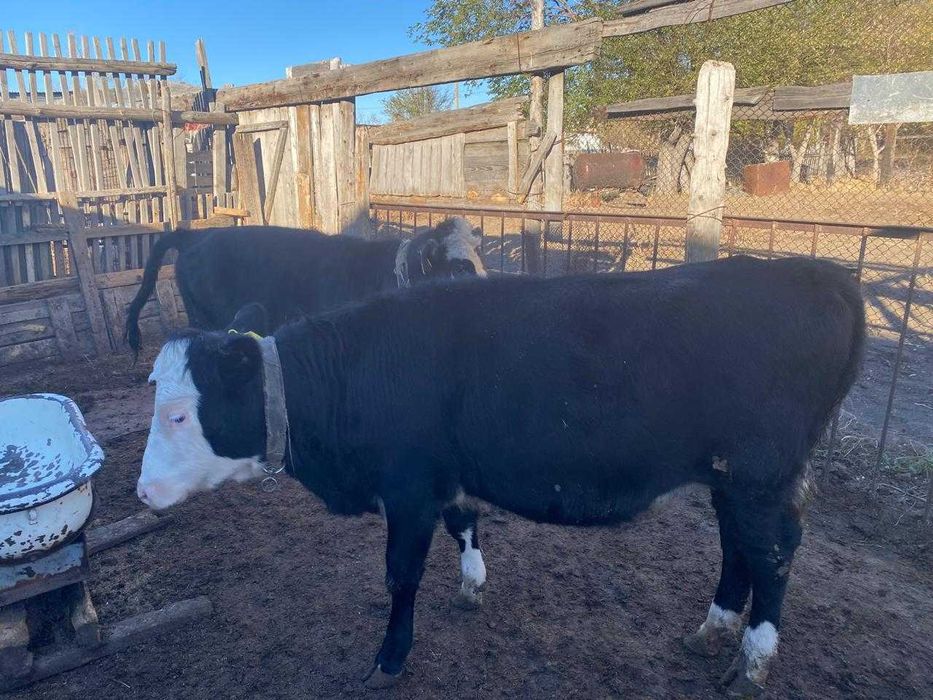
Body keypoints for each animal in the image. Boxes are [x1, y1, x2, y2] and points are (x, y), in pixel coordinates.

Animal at [136, 256, 864, 695]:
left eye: (178, 414)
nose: (142, 491)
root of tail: (819, 274)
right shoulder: (446, 476)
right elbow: (465, 521)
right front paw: (471, 586)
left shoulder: (408, 488)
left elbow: (400, 575)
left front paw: (389, 659)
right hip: (728, 479)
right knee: (736, 547)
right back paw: (713, 630)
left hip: (760, 477)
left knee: (772, 556)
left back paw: (752, 663)